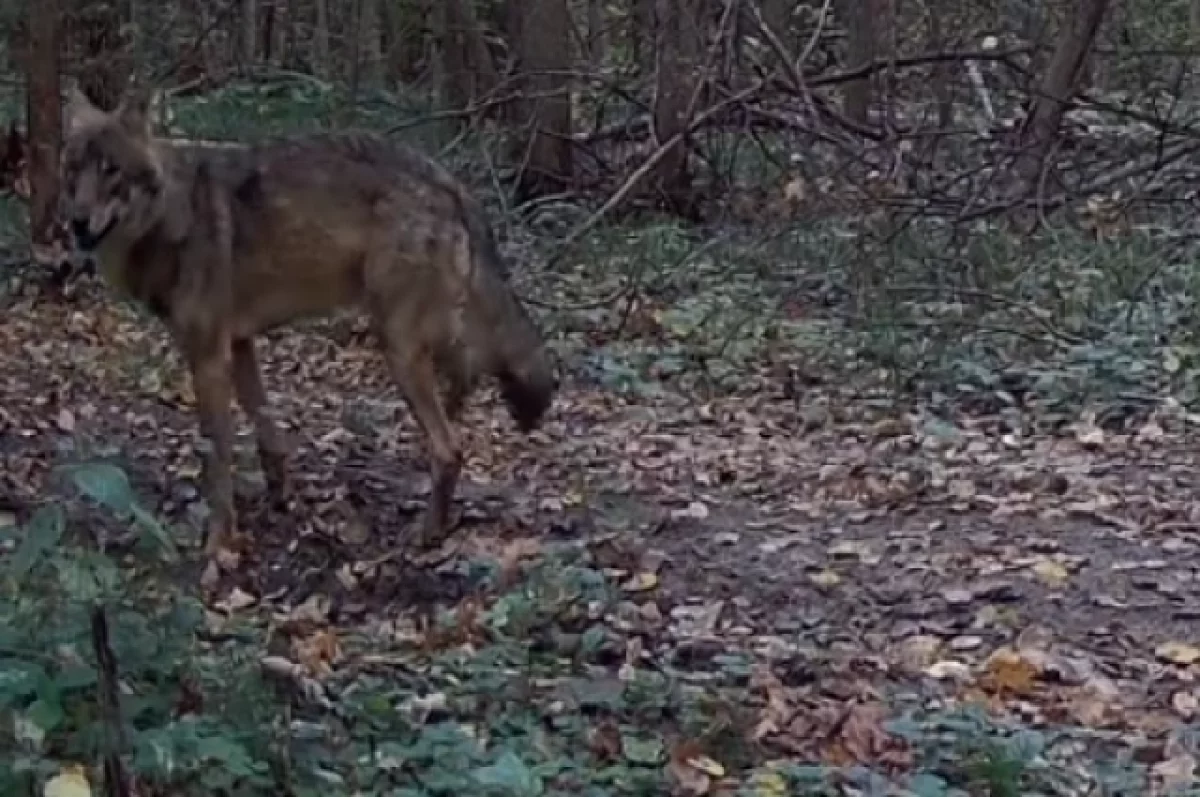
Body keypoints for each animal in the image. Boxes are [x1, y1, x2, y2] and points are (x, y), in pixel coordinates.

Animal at [60, 86, 557, 558]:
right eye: (73, 169)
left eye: (111, 171)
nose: (77, 223)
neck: (175, 215)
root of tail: (449, 180)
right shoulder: (239, 344)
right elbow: (268, 436)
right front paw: (279, 498)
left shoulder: (208, 357)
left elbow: (217, 457)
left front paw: (220, 544)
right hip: (425, 335)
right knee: (469, 375)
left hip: (398, 345)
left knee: (450, 446)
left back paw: (427, 533)